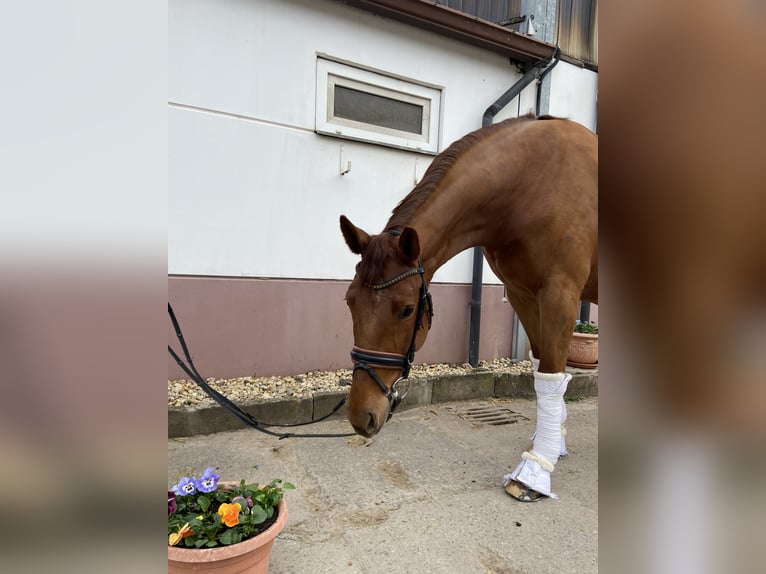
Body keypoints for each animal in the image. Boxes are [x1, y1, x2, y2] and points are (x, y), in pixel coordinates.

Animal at [342, 116, 600, 500]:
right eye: (350, 301)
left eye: (406, 310)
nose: (363, 416)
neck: (531, 181)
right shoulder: (523, 294)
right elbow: (539, 367)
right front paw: (553, 445)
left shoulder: (560, 293)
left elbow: (551, 377)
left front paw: (536, 471)